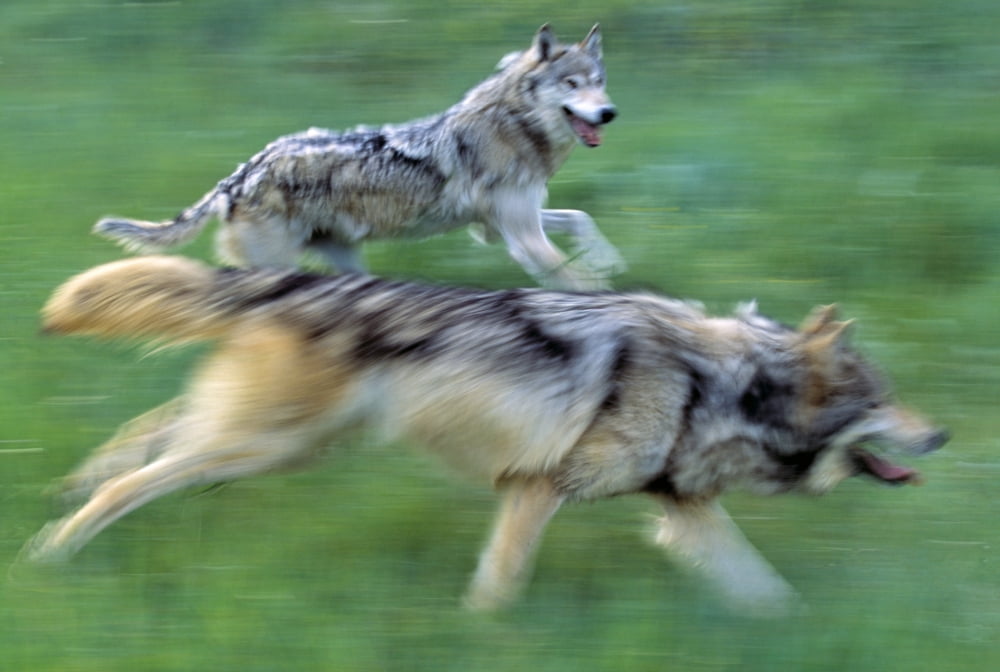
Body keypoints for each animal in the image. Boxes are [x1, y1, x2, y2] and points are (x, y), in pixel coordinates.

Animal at [27, 256, 947, 613]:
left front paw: (797, 636)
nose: (941, 435)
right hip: (264, 448)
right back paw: (50, 555)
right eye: (887, 401)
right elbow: (499, 587)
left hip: (274, 444)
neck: (718, 385)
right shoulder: (537, 488)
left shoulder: (681, 508)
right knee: (133, 478)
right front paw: (484, 639)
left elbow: (765, 593)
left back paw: (64, 497)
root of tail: (280, 280)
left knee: (141, 437)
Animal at [92, 25, 622, 290]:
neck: (514, 126)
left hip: (347, 265)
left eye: (599, 81)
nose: (609, 112)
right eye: (572, 84)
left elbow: (581, 219)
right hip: (279, 267)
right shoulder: (520, 235)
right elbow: (580, 283)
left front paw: (609, 258)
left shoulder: (499, 228)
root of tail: (239, 175)